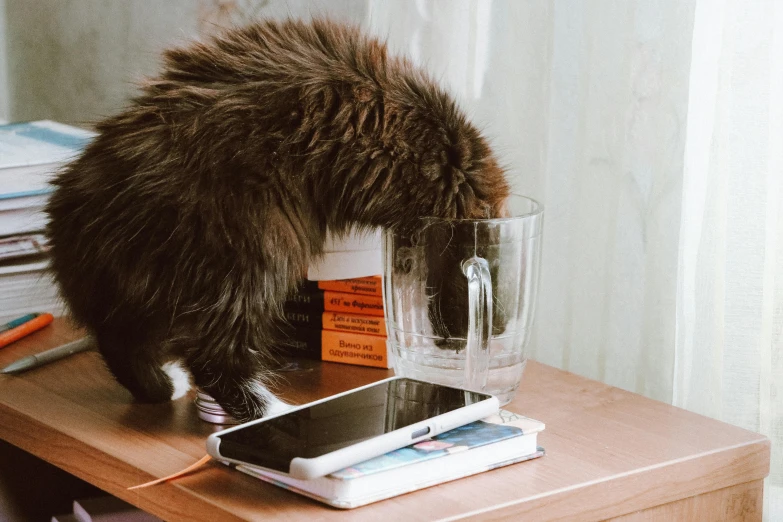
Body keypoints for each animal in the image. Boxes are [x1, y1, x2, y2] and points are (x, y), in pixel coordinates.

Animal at [46, 18, 512, 420]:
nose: (460, 347)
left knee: (120, 342)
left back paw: (163, 386)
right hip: (255, 247)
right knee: (213, 357)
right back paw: (272, 412)